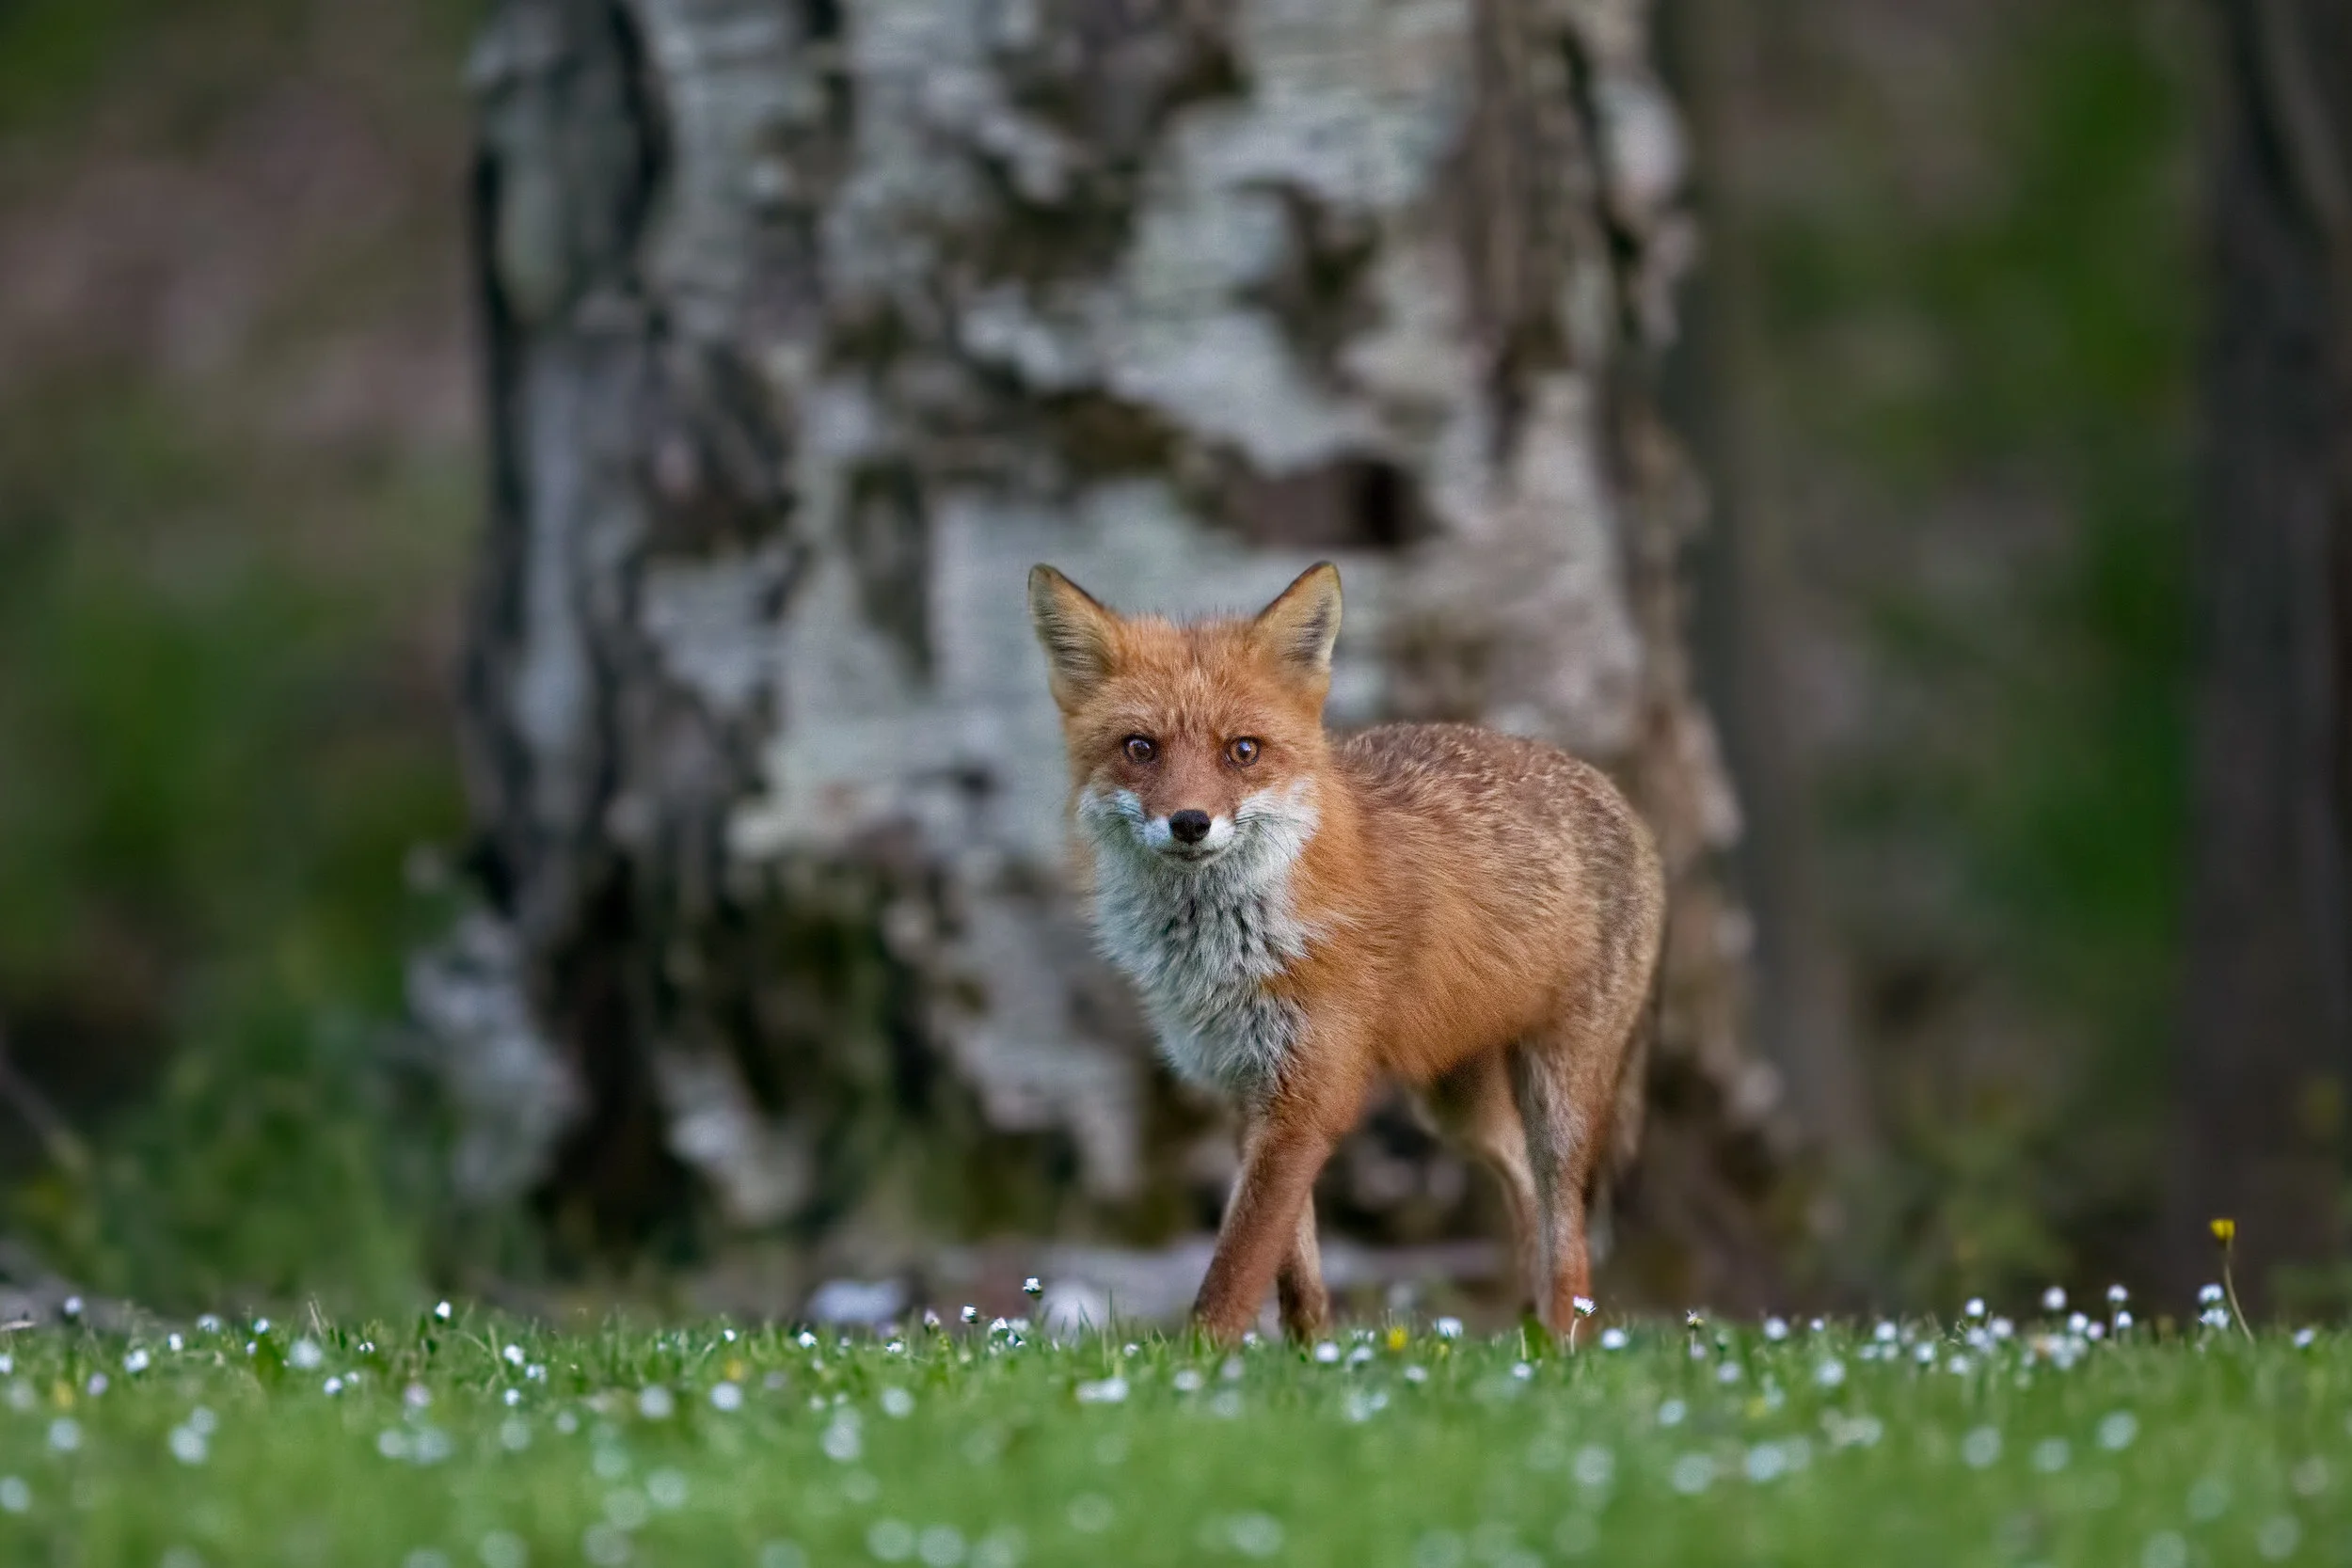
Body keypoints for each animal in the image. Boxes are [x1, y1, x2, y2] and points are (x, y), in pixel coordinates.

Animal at [1027, 559, 1667, 1343]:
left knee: (1567, 1227)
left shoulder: (1312, 1092)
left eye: (1242, 750)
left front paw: (1198, 1361)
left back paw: (1565, 1342)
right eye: (1139, 747)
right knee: (1524, 1186)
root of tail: (1614, 792)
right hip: (1458, 1107)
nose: (1190, 822)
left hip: (1559, 1093)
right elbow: (1291, 1264)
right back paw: (1532, 1334)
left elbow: (1235, 1267)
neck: (1228, 950)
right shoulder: (1247, 1088)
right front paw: (1312, 1355)